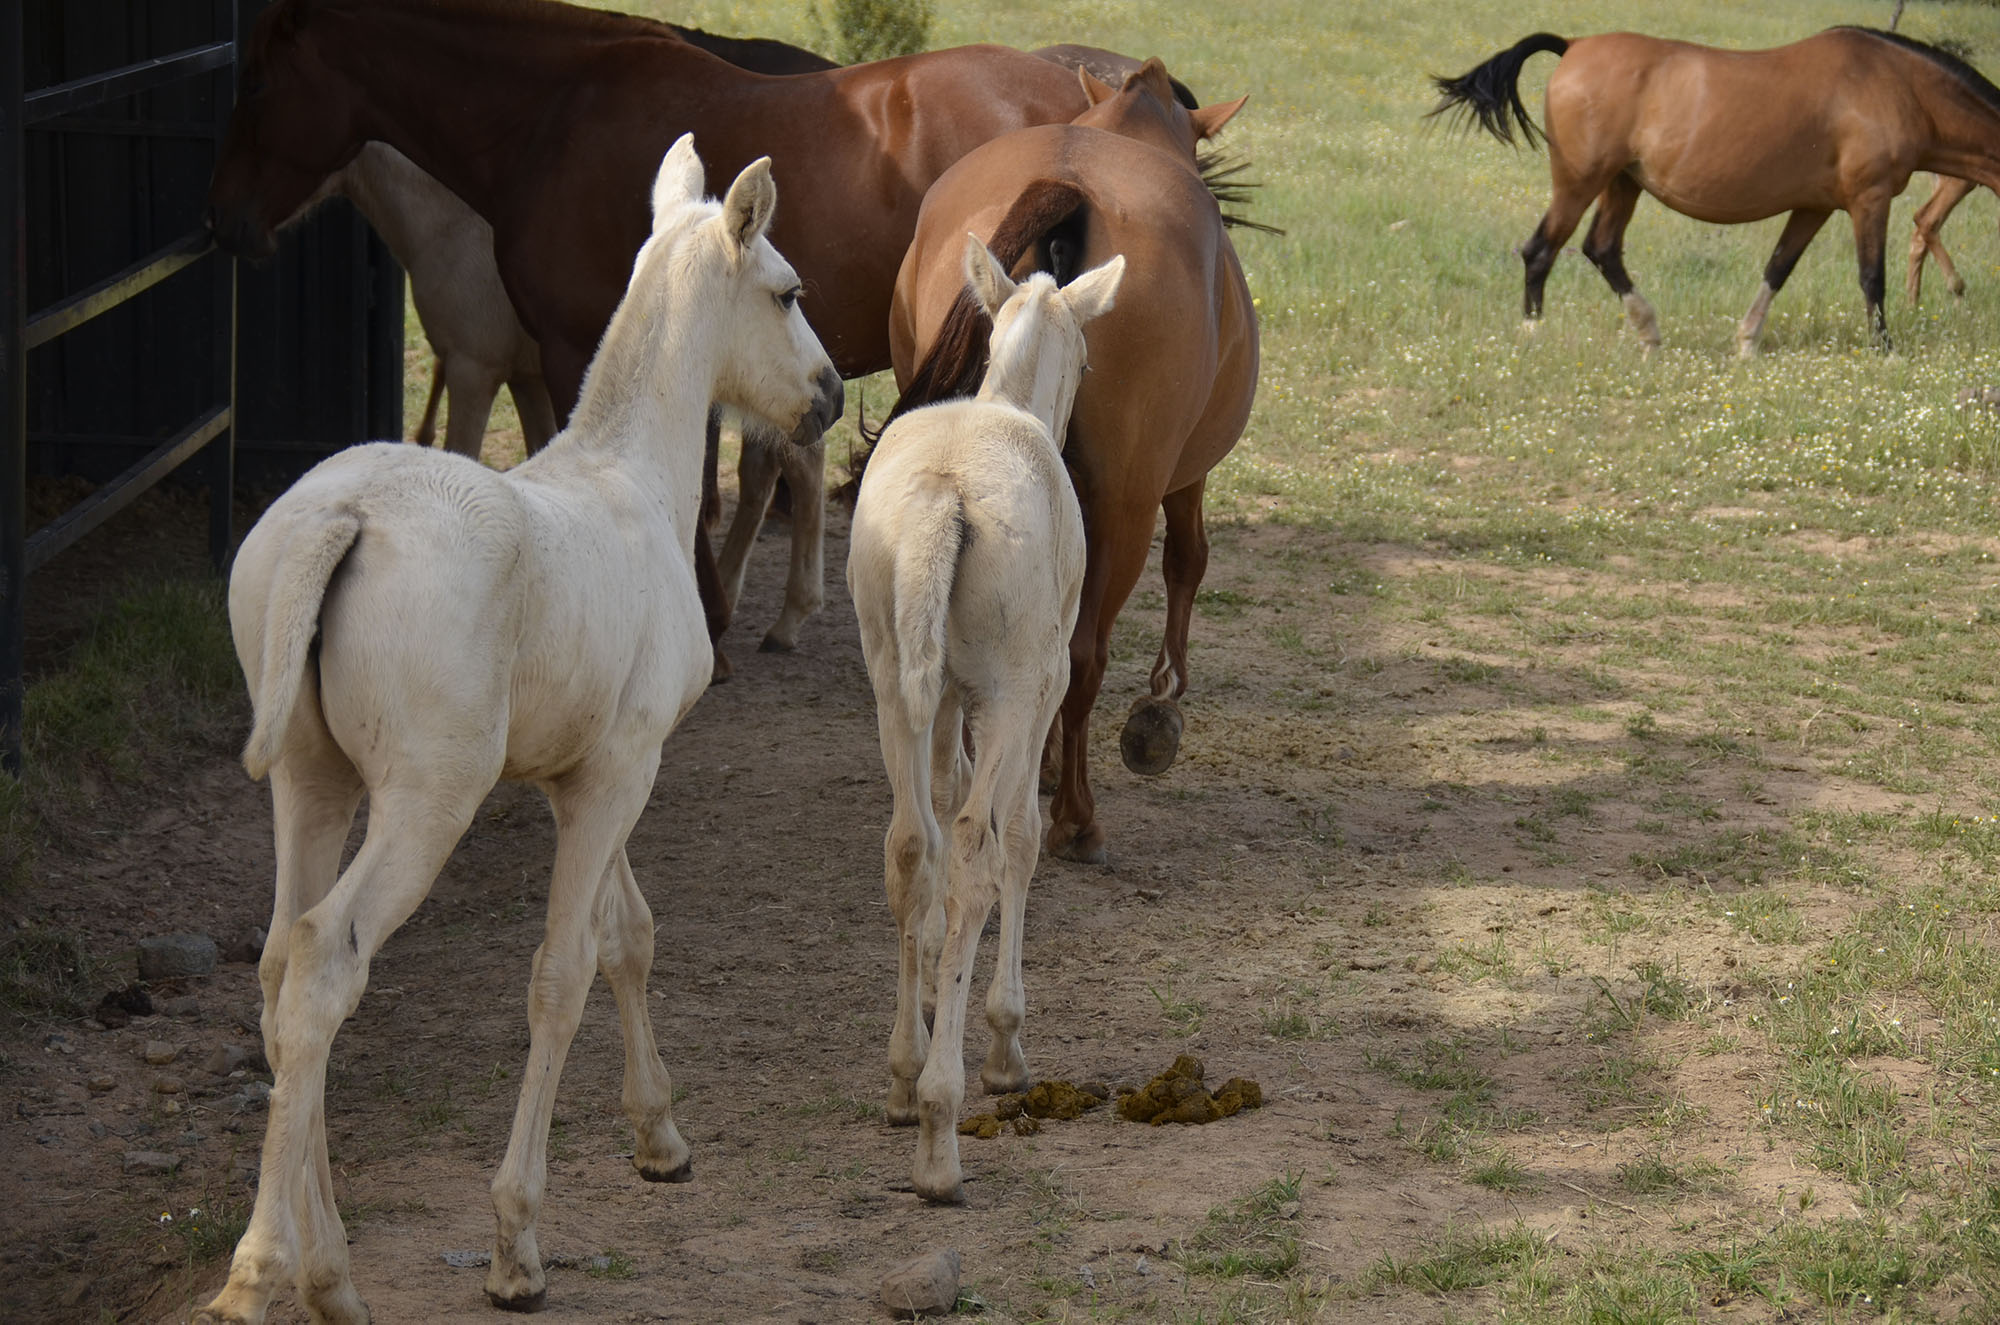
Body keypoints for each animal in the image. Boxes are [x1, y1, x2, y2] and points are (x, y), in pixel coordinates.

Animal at [207, 137, 848, 1325]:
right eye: (786, 292)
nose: (828, 394)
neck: (630, 482)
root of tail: (340, 518)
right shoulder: (622, 772)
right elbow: (564, 969)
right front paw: (518, 1243)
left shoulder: (587, 773)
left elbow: (628, 933)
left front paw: (661, 1137)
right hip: (425, 801)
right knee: (325, 961)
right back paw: (266, 1268)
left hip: (311, 781)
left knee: (278, 969)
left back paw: (332, 1273)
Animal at [848, 236, 1128, 1200]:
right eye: (1089, 358)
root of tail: (947, 495)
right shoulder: (1038, 684)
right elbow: (1021, 837)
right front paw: (1004, 1036)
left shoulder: (942, 700)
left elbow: (934, 821)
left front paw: (940, 990)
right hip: (1009, 689)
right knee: (974, 844)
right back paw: (942, 1126)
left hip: (891, 674)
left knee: (908, 842)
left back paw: (904, 1079)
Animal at [888, 62, 1256, 868]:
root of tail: (1069, 179)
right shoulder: (1178, 480)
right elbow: (1188, 560)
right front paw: (1160, 706)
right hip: (1124, 508)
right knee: (1083, 655)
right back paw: (1076, 819)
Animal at [1440, 27, 2000, 358]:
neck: (1897, 85)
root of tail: (1575, 44)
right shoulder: (1870, 198)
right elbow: (1871, 278)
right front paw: (1885, 350)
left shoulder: (1813, 206)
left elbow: (1778, 267)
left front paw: (1747, 342)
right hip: (1581, 181)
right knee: (1541, 250)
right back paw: (1533, 336)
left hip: (1622, 184)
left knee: (1602, 249)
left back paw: (1649, 333)